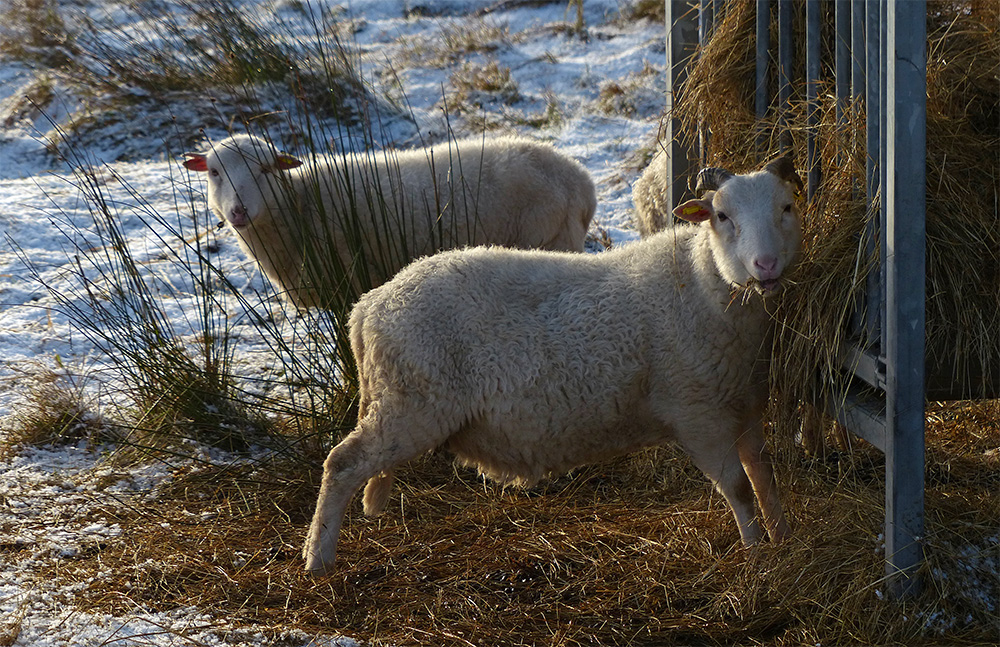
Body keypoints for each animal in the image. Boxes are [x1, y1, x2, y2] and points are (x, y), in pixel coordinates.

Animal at [185, 133, 596, 308]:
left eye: (266, 170)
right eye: (215, 172)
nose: (238, 211)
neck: (298, 203)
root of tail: (578, 178)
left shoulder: (349, 278)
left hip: (549, 242)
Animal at [300, 154, 800, 576]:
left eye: (788, 207)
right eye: (722, 216)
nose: (766, 265)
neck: (701, 282)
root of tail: (368, 305)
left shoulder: (744, 405)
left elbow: (763, 476)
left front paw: (782, 539)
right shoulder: (699, 415)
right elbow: (738, 488)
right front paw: (758, 556)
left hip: (398, 399)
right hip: (410, 405)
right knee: (341, 464)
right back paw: (317, 558)